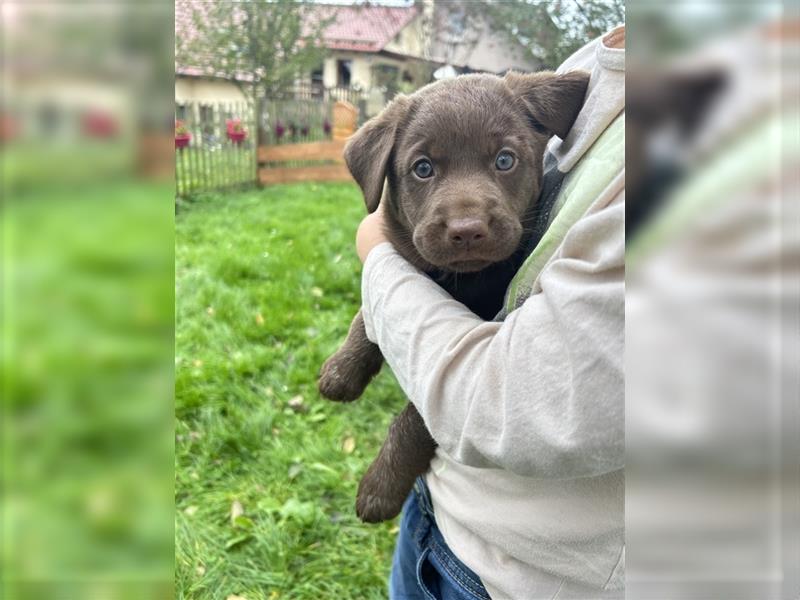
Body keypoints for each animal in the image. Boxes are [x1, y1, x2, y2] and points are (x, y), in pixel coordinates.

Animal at [318, 69, 588, 520]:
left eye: (504, 160)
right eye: (423, 168)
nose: (467, 230)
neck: (458, 278)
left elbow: (416, 418)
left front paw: (380, 487)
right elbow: (366, 314)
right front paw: (342, 370)